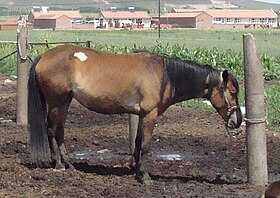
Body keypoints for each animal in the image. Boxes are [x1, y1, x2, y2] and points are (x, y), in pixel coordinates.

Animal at [29, 44, 243, 183]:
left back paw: (68, 164)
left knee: (59, 131)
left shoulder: (141, 115)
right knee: (52, 130)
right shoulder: (150, 115)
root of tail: (43, 56)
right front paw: (145, 176)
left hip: (64, 101)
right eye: (233, 92)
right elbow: (146, 145)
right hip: (56, 102)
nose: (238, 121)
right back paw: (59, 164)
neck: (165, 76)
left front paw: (137, 171)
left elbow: (138, 143)